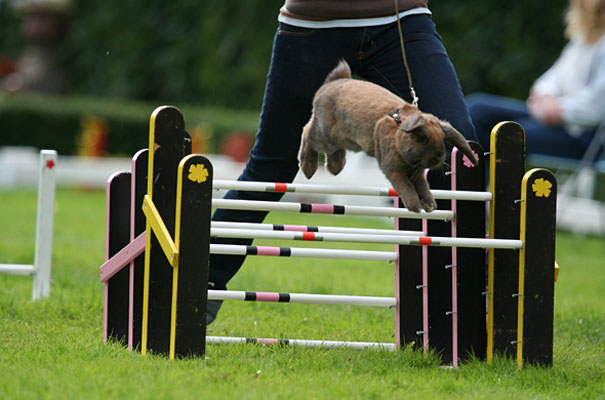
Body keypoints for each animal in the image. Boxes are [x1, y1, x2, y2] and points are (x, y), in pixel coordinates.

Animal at [298, 59, 476, 212]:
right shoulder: (393, 169)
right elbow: (405, 186)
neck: (399, 135)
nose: (438, 158)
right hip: (325, 135)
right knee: (307, 133)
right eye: (422, 138)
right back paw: (308, 168)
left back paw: (335, 167)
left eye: (442, 140)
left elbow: (423, 186)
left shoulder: (417, 174)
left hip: (345, 140)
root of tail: (330, 84)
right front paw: (415, 206)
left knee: (333, 149)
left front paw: (430, 205)